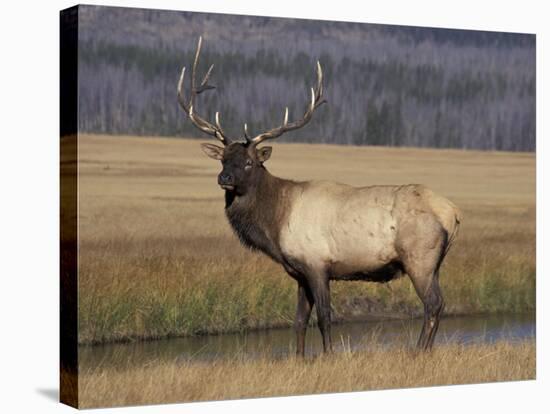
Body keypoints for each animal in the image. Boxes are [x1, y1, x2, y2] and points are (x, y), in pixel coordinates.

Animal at [179, 37, 464, 356]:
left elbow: (325, 317)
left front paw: (328, 355)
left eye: (250, 162)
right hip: (435, 262)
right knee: (439, 303)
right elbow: (299, 321)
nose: (224, 178)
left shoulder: (317, 264)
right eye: (223, 159)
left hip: (419, 257)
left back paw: (419, 351)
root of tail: (453, 212)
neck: (274, 224)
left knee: (433, 304)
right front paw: (299, 358)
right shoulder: (299, 272)